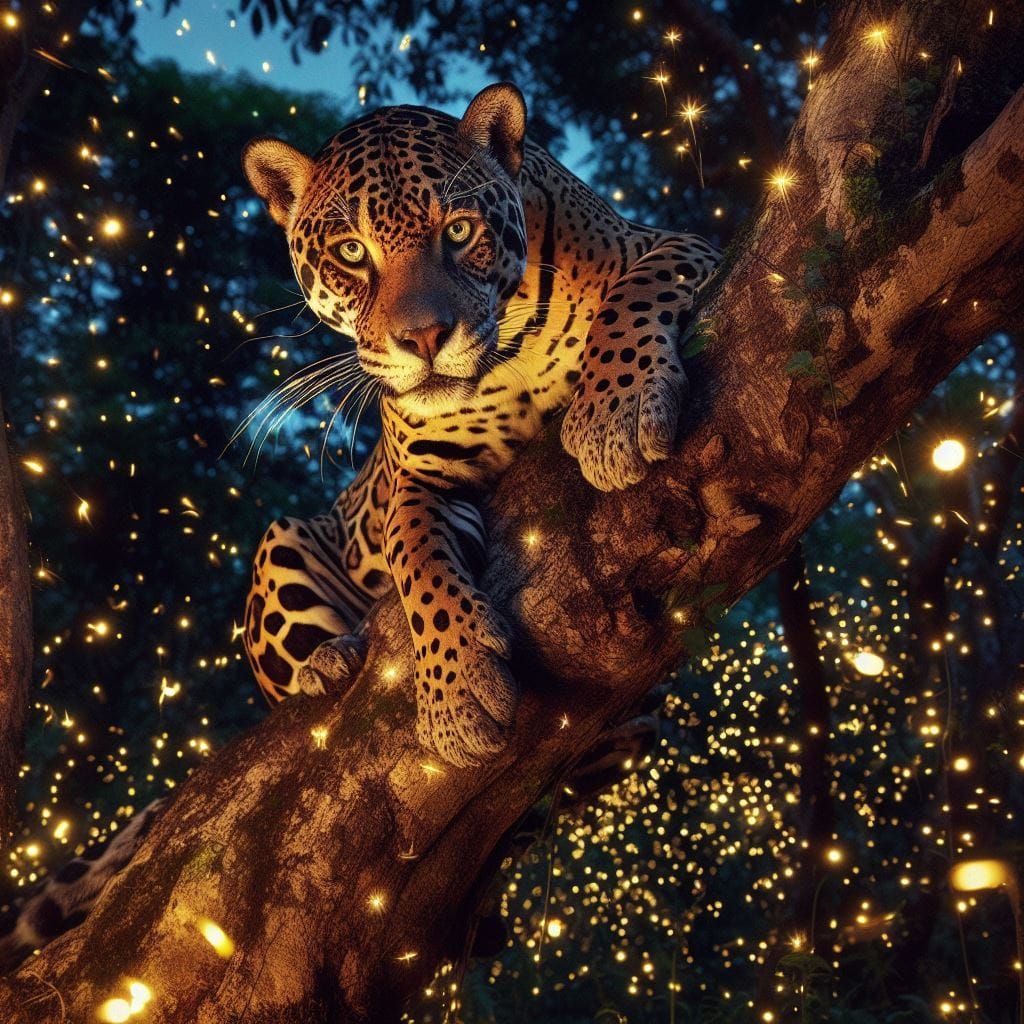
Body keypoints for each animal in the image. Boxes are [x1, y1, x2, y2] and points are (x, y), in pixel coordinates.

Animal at [241, 82, 720, 768]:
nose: (423, 337)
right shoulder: (420, 478)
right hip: (281, 540)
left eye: (460, 230)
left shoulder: (673, 242)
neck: (508, 356)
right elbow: (414, 555)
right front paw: (456, 693)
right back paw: (326, 662)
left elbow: (633, 294)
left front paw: (614, 411)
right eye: (352, 252)